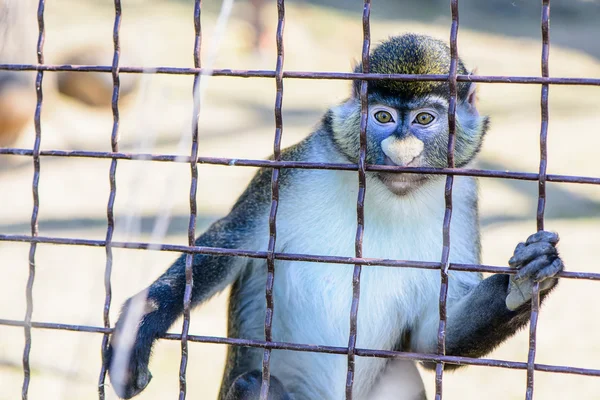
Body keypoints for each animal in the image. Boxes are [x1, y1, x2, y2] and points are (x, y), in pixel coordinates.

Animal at [104, 34, 564, 400]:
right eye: (383, 117)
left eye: (424, 119)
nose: (401, 150)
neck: (386, 196)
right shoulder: (292, 170)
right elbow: (230, 240)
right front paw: (141, 325)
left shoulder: (463, 198)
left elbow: (432, 336)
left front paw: (525, 280)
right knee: (253, 383)